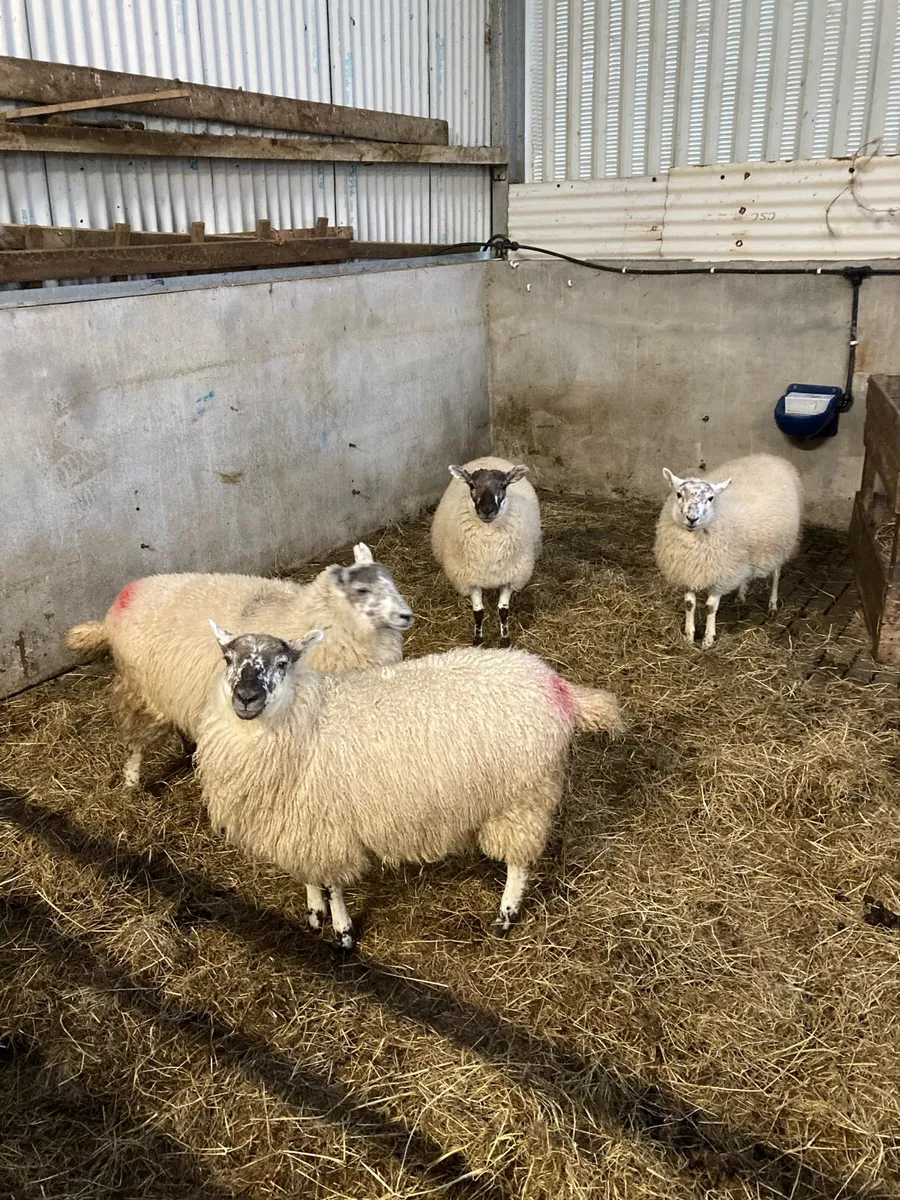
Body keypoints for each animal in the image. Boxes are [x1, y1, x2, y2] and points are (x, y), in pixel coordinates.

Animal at [65, 544, 413, 789]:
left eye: (391, 581)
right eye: (362, 590)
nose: (407, 616)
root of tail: (113, 611)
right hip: (142, 692)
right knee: (136, 741)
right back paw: (131, 783)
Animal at [196, 623, 625, 950]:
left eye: (282, 663)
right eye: (228, 660)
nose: (246, 697)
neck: (308, 715)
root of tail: (555, 683)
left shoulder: (328, 827)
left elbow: (334, 885)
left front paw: (343, 934)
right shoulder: (298, 827)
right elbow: (309, 875)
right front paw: (314, 913)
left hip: (523, 799)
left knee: (520, 863)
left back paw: (504, 916)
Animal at [431, 456, 541, 647]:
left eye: (504, 486)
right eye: (471, 485)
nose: (487, 509)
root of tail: (489, 457)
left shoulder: (510, 577)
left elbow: (503, 610)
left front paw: (505, 640)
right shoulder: (470, 579)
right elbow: (478, 612)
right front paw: (478, 640)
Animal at [654, 453, 803, 649]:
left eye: (710, 498)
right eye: (678, 494)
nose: (692, 518)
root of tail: (772, 458)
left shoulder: (721, 575)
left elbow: (710, 607)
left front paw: (708, 640)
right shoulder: (687, 572)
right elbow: (689, 604)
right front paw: (689, 637)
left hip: (779, 546)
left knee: (777, 574)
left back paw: (772, 604)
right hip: (743, 555)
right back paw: (740, 595)